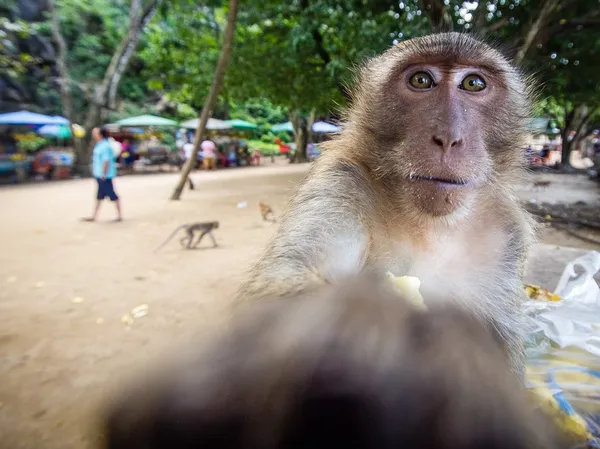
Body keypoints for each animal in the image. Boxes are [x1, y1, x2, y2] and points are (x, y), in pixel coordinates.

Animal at [237, 32, 536, 374]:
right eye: (421, 80)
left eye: (474, 83)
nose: (448, 137)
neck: (429, 225)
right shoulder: (340, 182)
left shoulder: (508, 231)